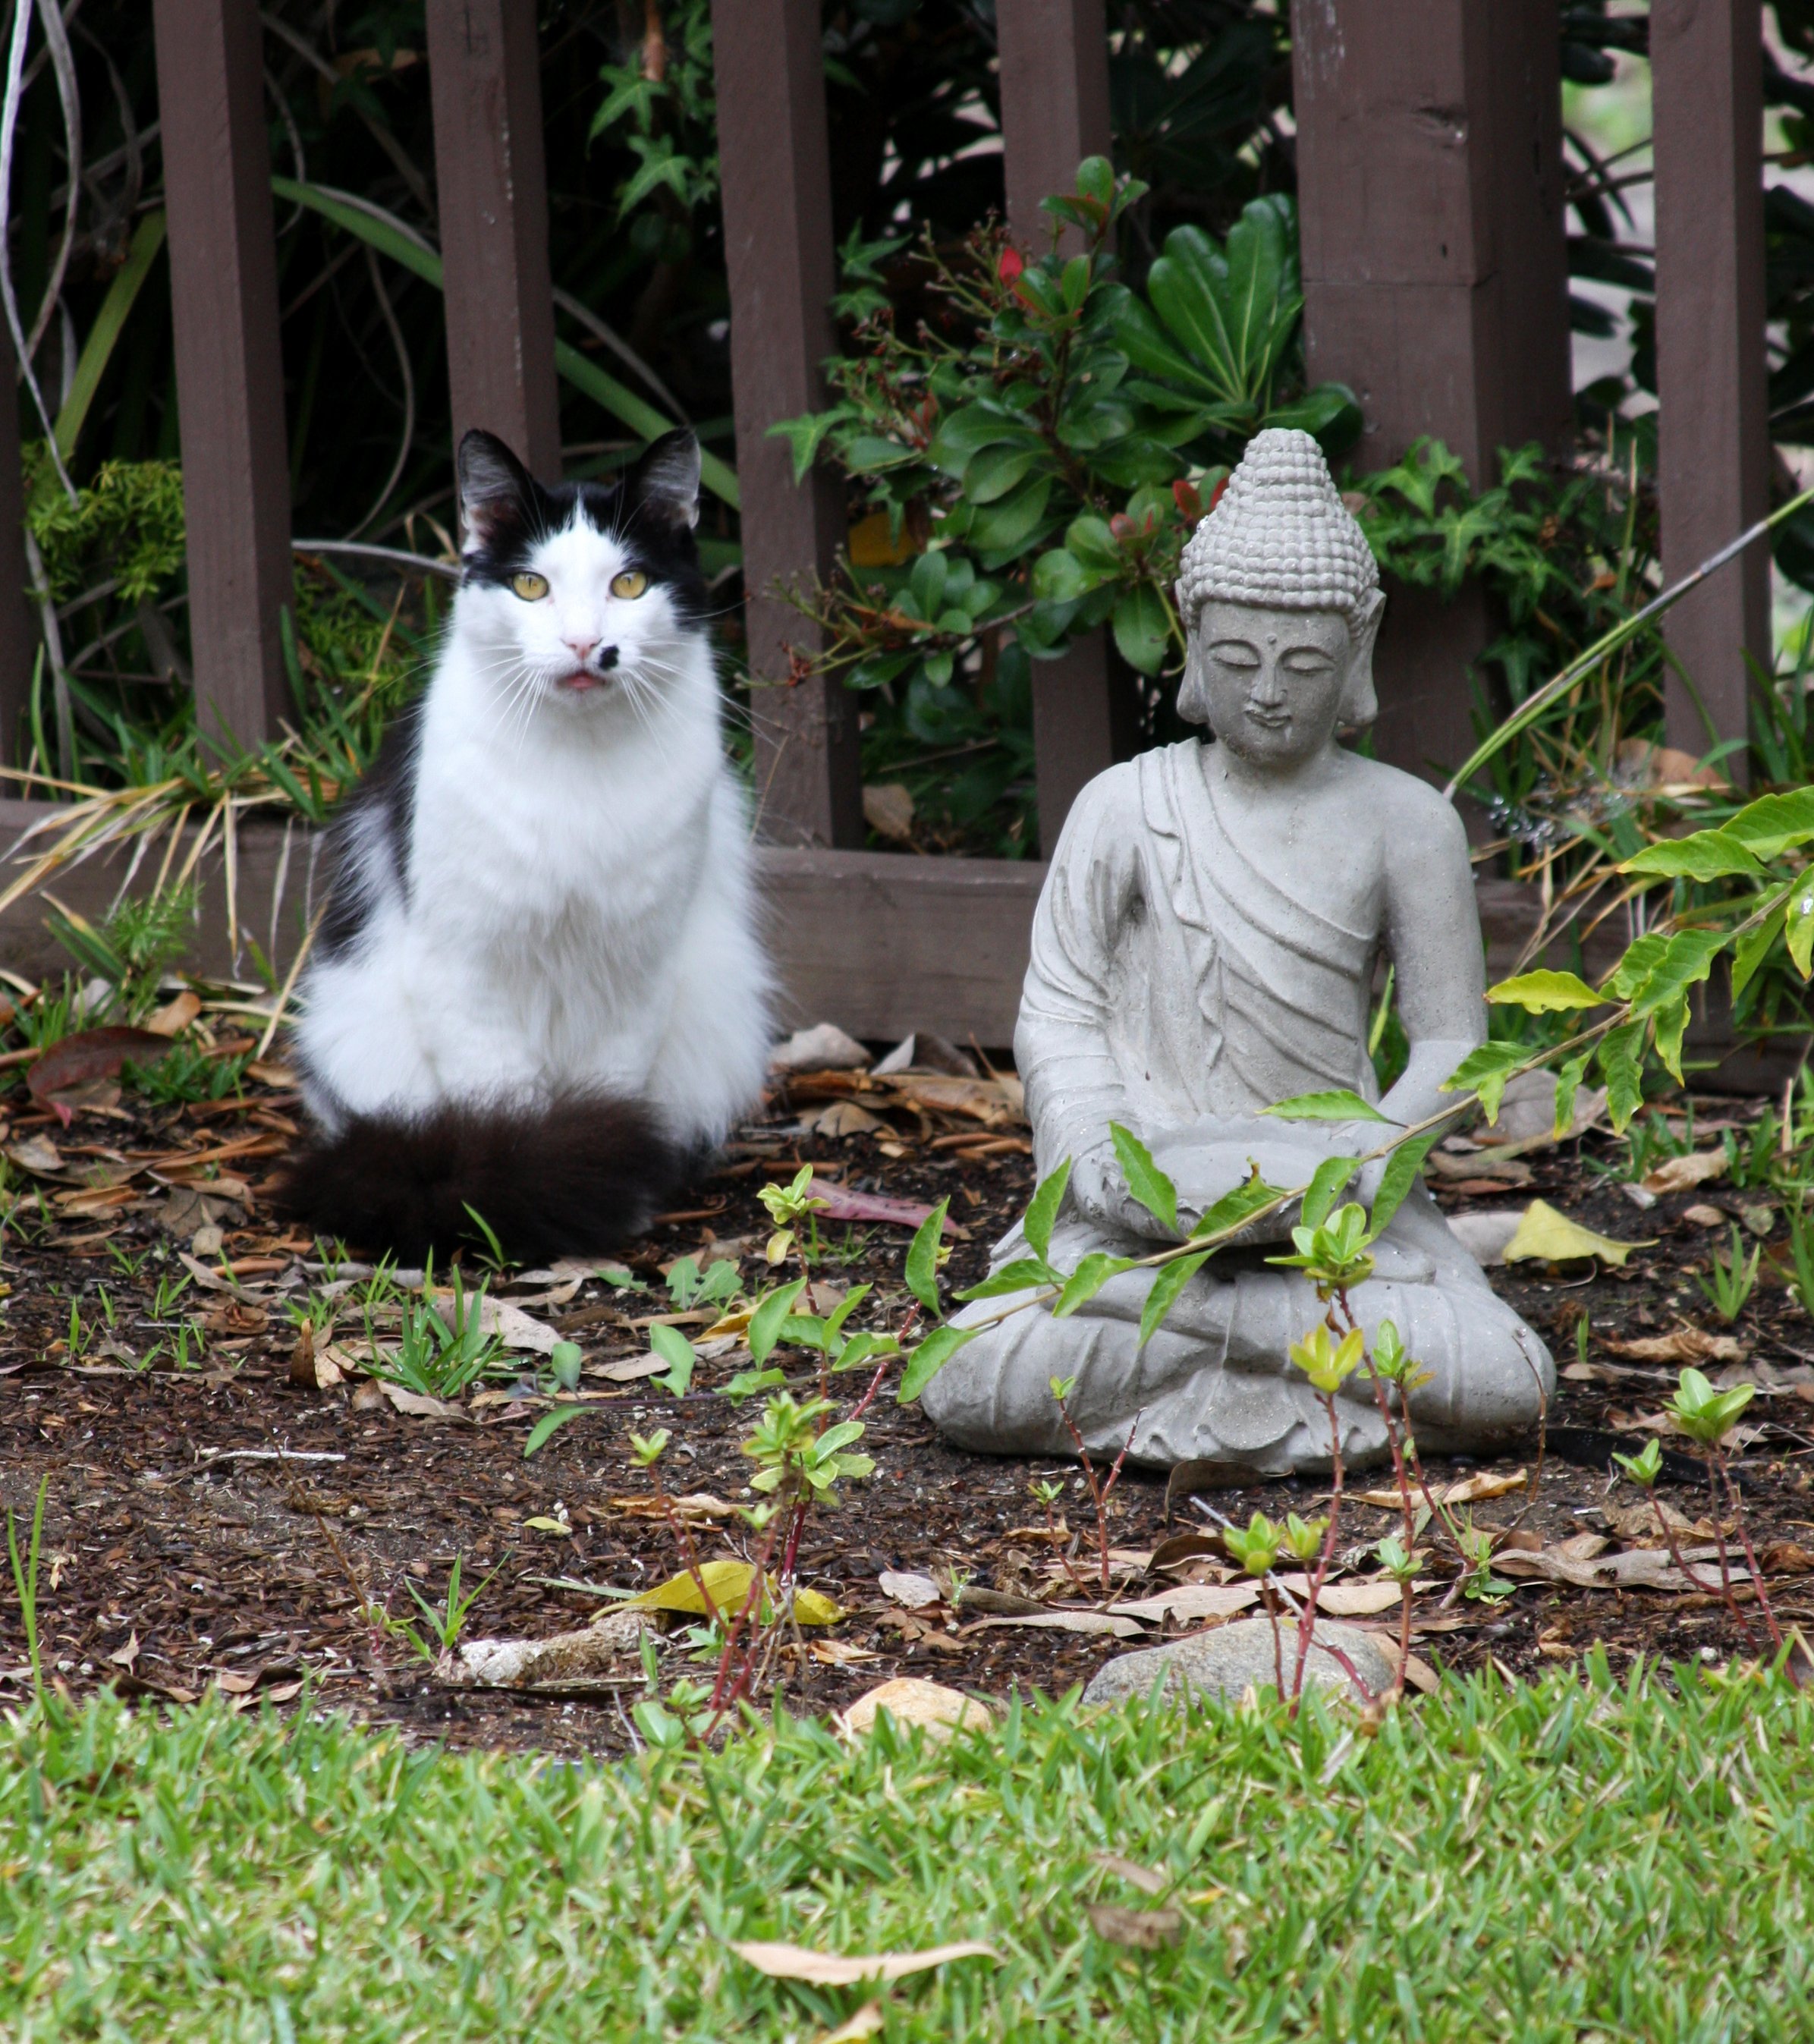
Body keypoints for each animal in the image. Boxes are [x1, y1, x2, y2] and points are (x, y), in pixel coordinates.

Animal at [278, 427, 772, 1259]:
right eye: (531, 587)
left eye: (629, 584)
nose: (583, 643)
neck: (576, 768)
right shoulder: (465, 968)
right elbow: (499, 1111)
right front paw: (513, 1191)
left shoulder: (635, 971)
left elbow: (610, 1094)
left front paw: (599, 1184)